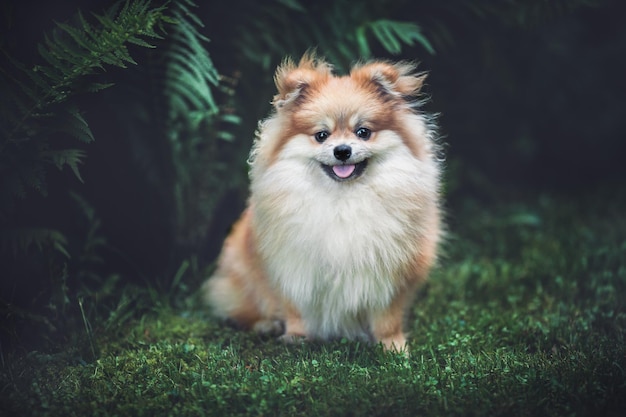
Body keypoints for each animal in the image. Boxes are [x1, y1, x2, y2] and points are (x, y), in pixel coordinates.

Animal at [202, 52, 442, 352]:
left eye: (363, 132)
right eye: (321, 135)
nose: (342, 151)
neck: (343, 199)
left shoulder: (390, 273)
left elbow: (387, 316)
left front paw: (393, 347)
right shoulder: (293, 266)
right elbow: (295, 308)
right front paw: (296, 337)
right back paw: (266, 324)